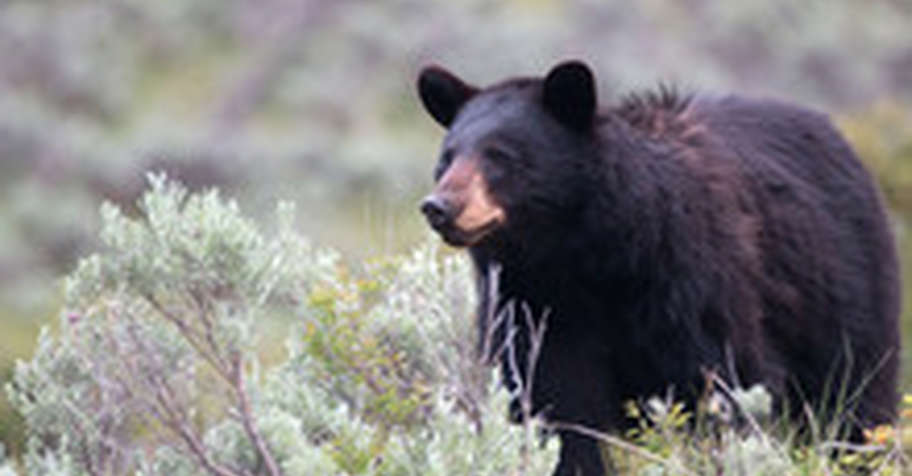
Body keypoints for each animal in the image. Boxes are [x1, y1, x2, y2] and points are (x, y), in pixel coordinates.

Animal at [416, 60, 901, 476]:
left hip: (843, 286)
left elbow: (721, 379)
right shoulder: (533, 302)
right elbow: (553, 399)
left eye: (501, 156)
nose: (439, 207)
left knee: (854, 393)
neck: (583, 257)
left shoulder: (691, 279)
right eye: (447, 156)